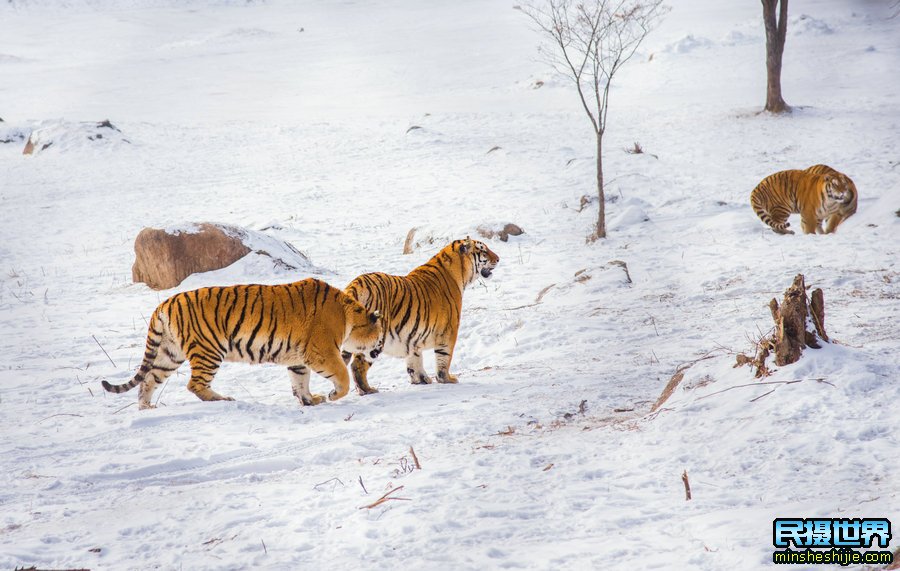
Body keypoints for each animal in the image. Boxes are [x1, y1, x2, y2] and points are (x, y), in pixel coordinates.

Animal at [102, 278, 384, 408]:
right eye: (380, 337)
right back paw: (222, 399)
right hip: (209, 350)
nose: (379, 351)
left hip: (169, 354)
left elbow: (299, 381)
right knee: (195, 384)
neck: (349, 316)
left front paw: (309, 400)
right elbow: (342, 377)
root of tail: (164, 304)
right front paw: (332, 395)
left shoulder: (298, 358)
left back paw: (147, 407)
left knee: (148, 380)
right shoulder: (321, 352)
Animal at [342, 239, 500, 396]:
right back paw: (367, 390)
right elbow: (444, 356)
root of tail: (354, 285)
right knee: (357, 364)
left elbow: (415, 359)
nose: (498, 259)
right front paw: (446, 379)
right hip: (375, 339)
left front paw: (420, 379)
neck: (459, 272)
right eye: (483, 250)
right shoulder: (449, 330)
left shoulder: (412, 335)